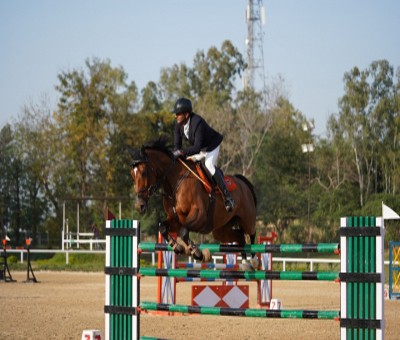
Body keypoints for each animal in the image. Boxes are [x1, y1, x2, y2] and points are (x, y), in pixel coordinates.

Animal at [127, 137, 260, 268]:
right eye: (132, 175)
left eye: (143, 172)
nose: (139, 206)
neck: (175, 183)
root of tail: (243, 183)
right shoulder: (176, 219)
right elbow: (163, 228)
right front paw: (180, 248)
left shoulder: (199, 215)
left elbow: (183, 232)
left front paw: (196, 252)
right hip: (221, 230)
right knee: (240, 238)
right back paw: (245, 262)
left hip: (247, 220)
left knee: (252, 232)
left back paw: (254, 260)